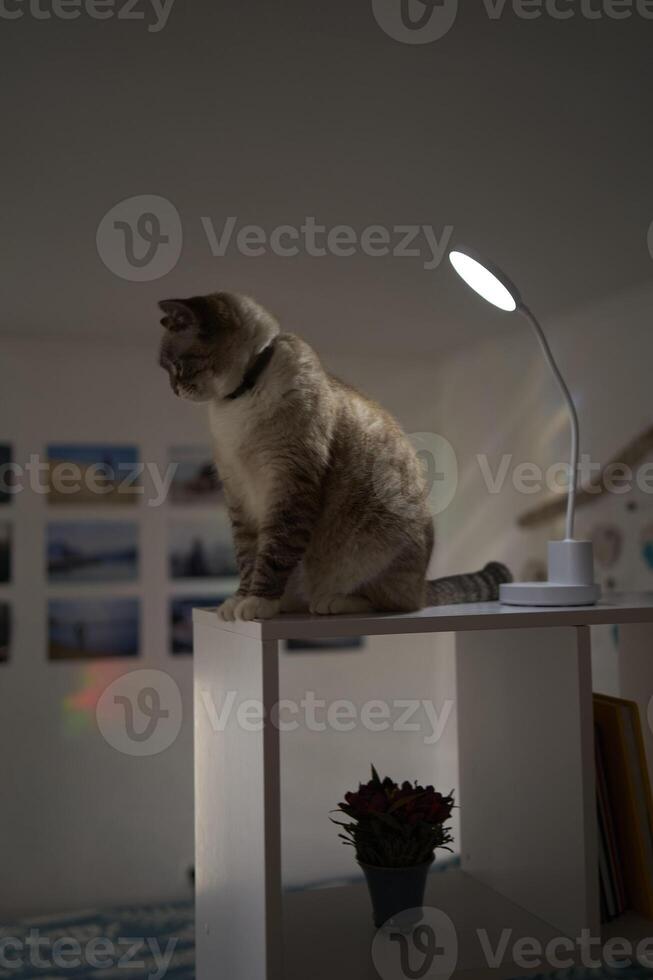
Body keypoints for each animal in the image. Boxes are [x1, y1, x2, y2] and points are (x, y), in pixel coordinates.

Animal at [157, 290, 510, 624]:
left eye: (176, 367)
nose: (173, 389)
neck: (238, 399)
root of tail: (424, 583)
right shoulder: (238, 492)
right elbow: (247, 556)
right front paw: (239, 600)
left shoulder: (288, 482)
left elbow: (273, 554)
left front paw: (257, 603)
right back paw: (289, 603)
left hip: (373, 548)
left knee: (392, 602)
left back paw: (331, 601)